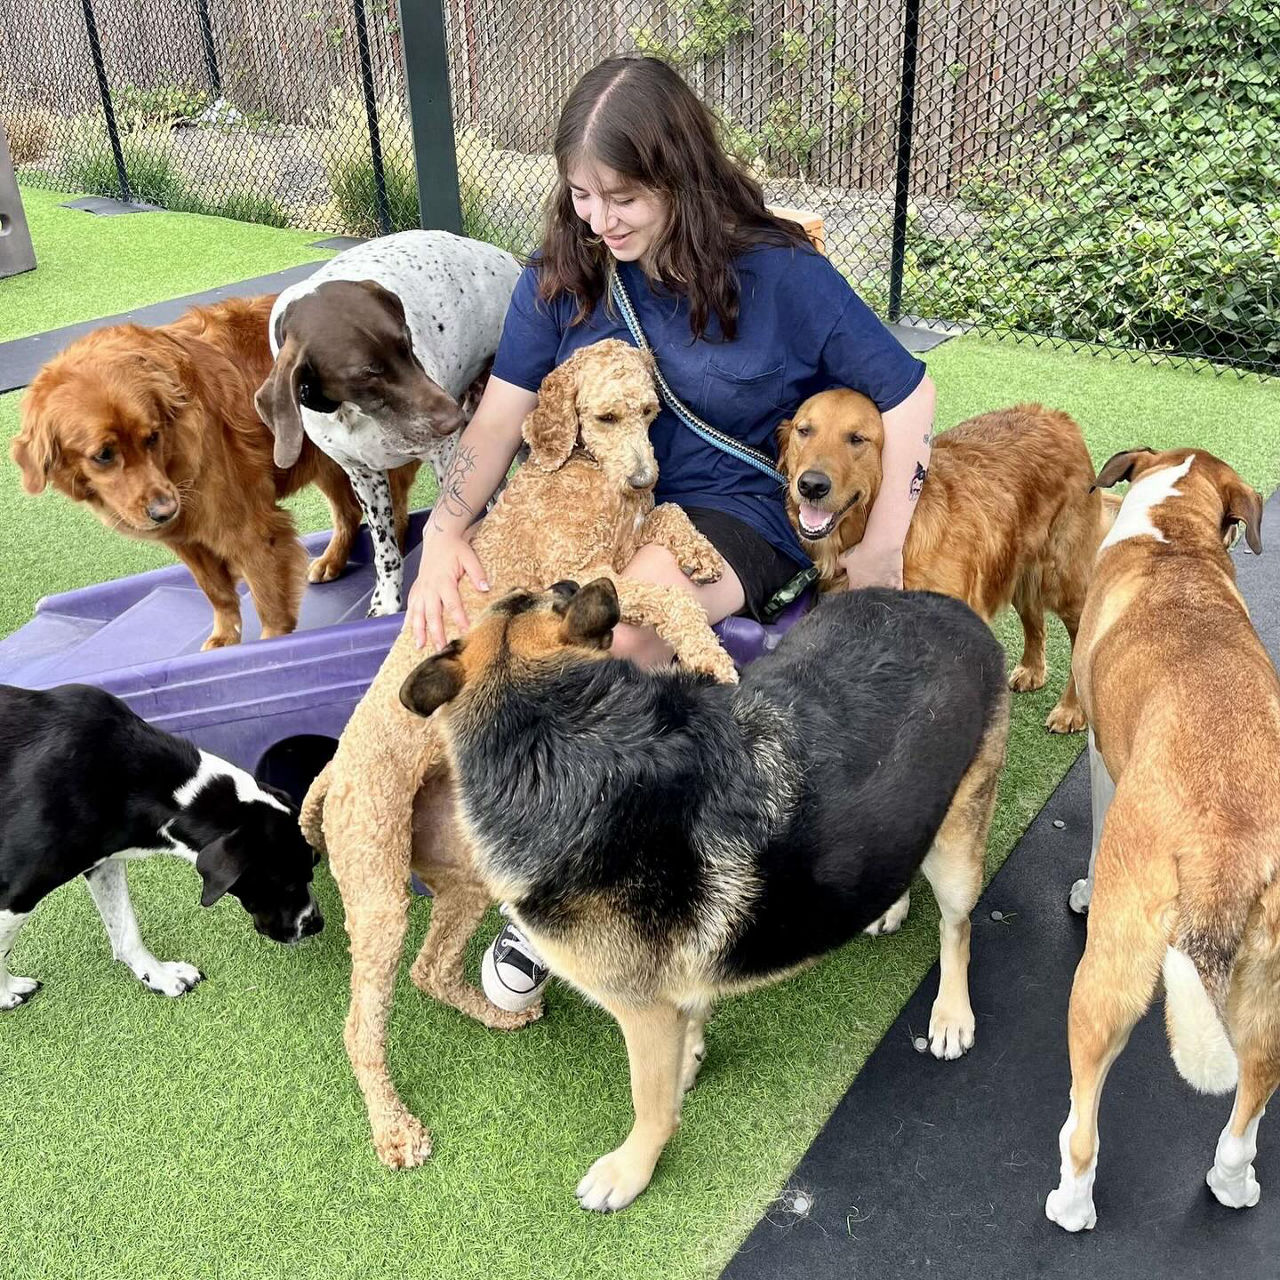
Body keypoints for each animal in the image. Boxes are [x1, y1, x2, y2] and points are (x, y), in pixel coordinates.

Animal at [1, 686, 320, 1003]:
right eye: (285, 882)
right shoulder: (16, 894)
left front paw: (158, 975)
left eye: (312, 870)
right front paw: (6, 994)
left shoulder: (103, 862)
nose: (316, 923)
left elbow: (126, 927)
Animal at [12, 294, 417, 645]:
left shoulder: (248, 527)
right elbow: (216, 591)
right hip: (327, 459)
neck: (174, 454)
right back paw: (333, 559)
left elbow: (268, 599)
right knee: (348, 511)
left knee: (393, 515)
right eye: (103, 455)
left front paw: (268, 644)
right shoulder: (186, 536)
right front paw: (224, 637)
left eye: (151, 437)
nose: (164, 510)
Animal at [778, 389, 1111, 732]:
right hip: (1015, 565)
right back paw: (1032, 669)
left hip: (1064, 577)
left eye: (857, 438)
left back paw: (1071, 709)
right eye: (804, 431)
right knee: (1034, 617)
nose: (811, 485)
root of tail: (1057, 417)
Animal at [1044, 448, 1274, 1228]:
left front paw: (1082, 888)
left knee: (1082, 1122)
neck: (1175, 536)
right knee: (1250, 1096)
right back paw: (1232, 1183)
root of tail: (1227, 848)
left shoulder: (1098, 750)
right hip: (1270, 989)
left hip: (1107, 975)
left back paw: (1070, 1205)